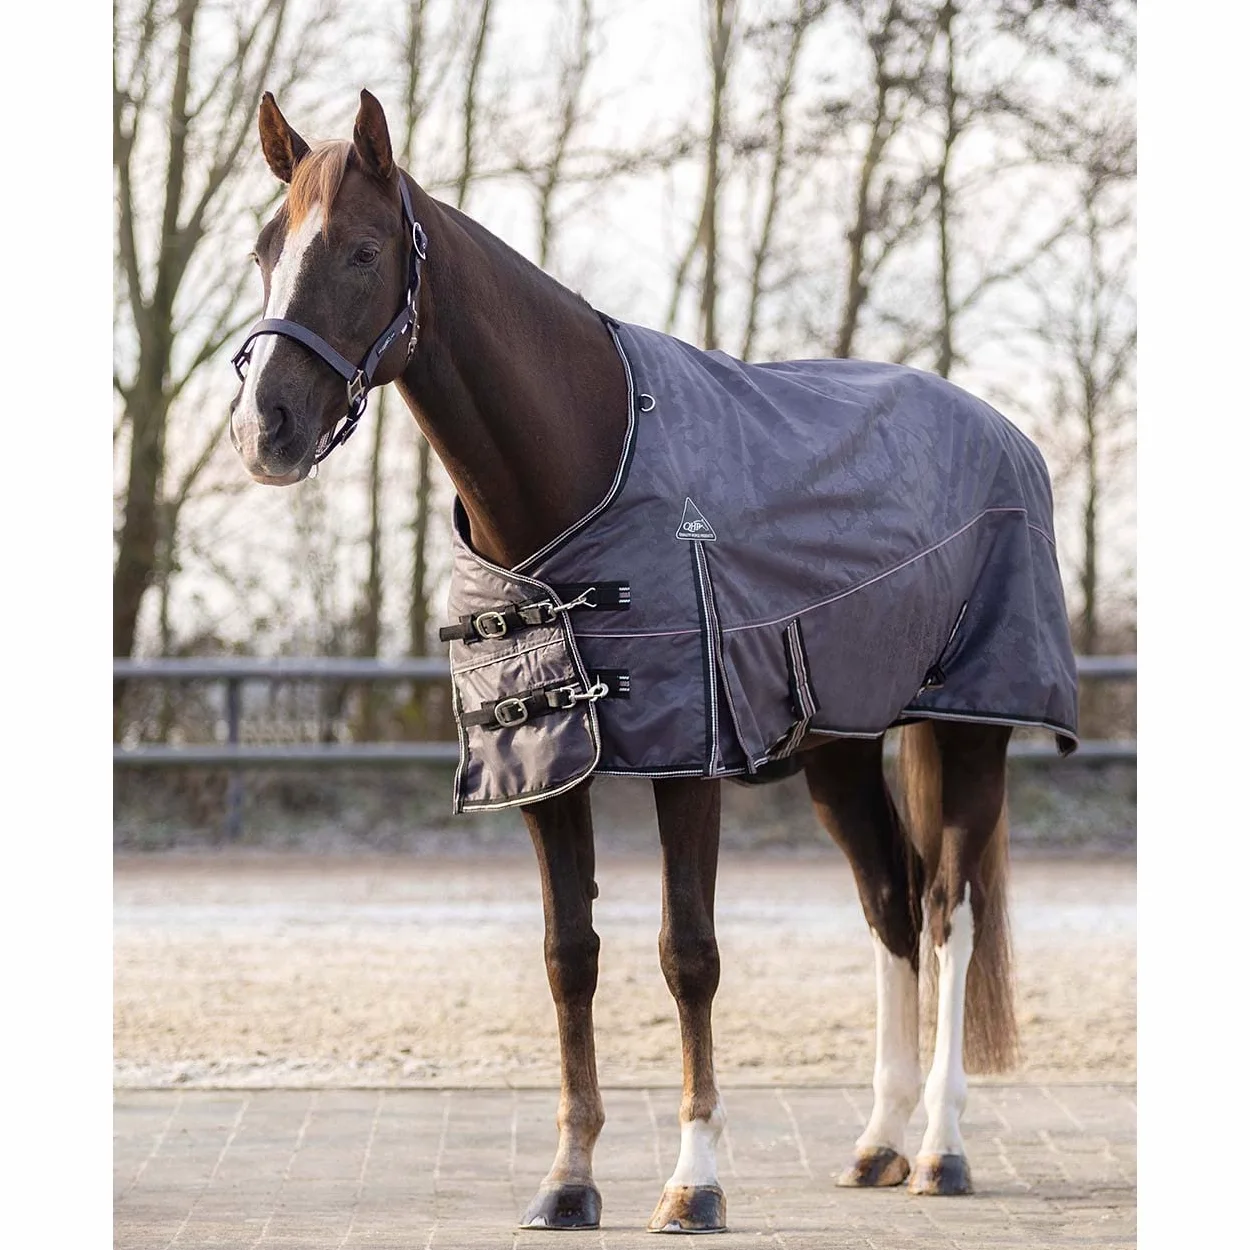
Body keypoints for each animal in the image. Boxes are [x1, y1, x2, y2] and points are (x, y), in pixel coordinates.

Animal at [228, 89, 1078, 1234]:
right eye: (264, 248)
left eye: (362, 251)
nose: (262, 428)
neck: (585, 464)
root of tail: (1004, 434)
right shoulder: (545, 762)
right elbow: (569, 958)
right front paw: (568, 1179)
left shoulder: (690, 756)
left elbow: (689, 955)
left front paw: (694, 1179)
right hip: (839, 751)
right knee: (890, 904)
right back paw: (877, 1144)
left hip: (968, 728)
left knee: (949, 909)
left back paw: (942, 1148)